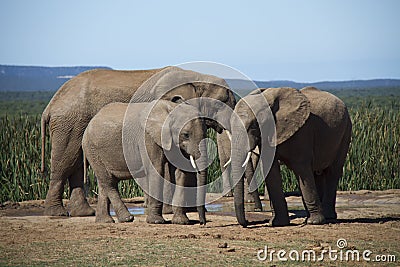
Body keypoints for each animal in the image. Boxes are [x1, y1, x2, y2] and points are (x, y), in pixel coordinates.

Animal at [40, 66, 234, 218]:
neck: (198, 78)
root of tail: (50, 105)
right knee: (65, 162)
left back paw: (84, 213)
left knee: (77, 164)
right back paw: (57, 213)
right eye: (221, 104)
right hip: (69, 123)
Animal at [230, 87, 352, 228]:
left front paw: (314, 222)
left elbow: (301, 168)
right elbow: (271, 171)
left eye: (253, 125)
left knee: (333, 171)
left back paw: (327, 217)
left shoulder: (302, 132)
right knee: (317, 173)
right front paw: (277, 223)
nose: (248, 222)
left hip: (346, 131)